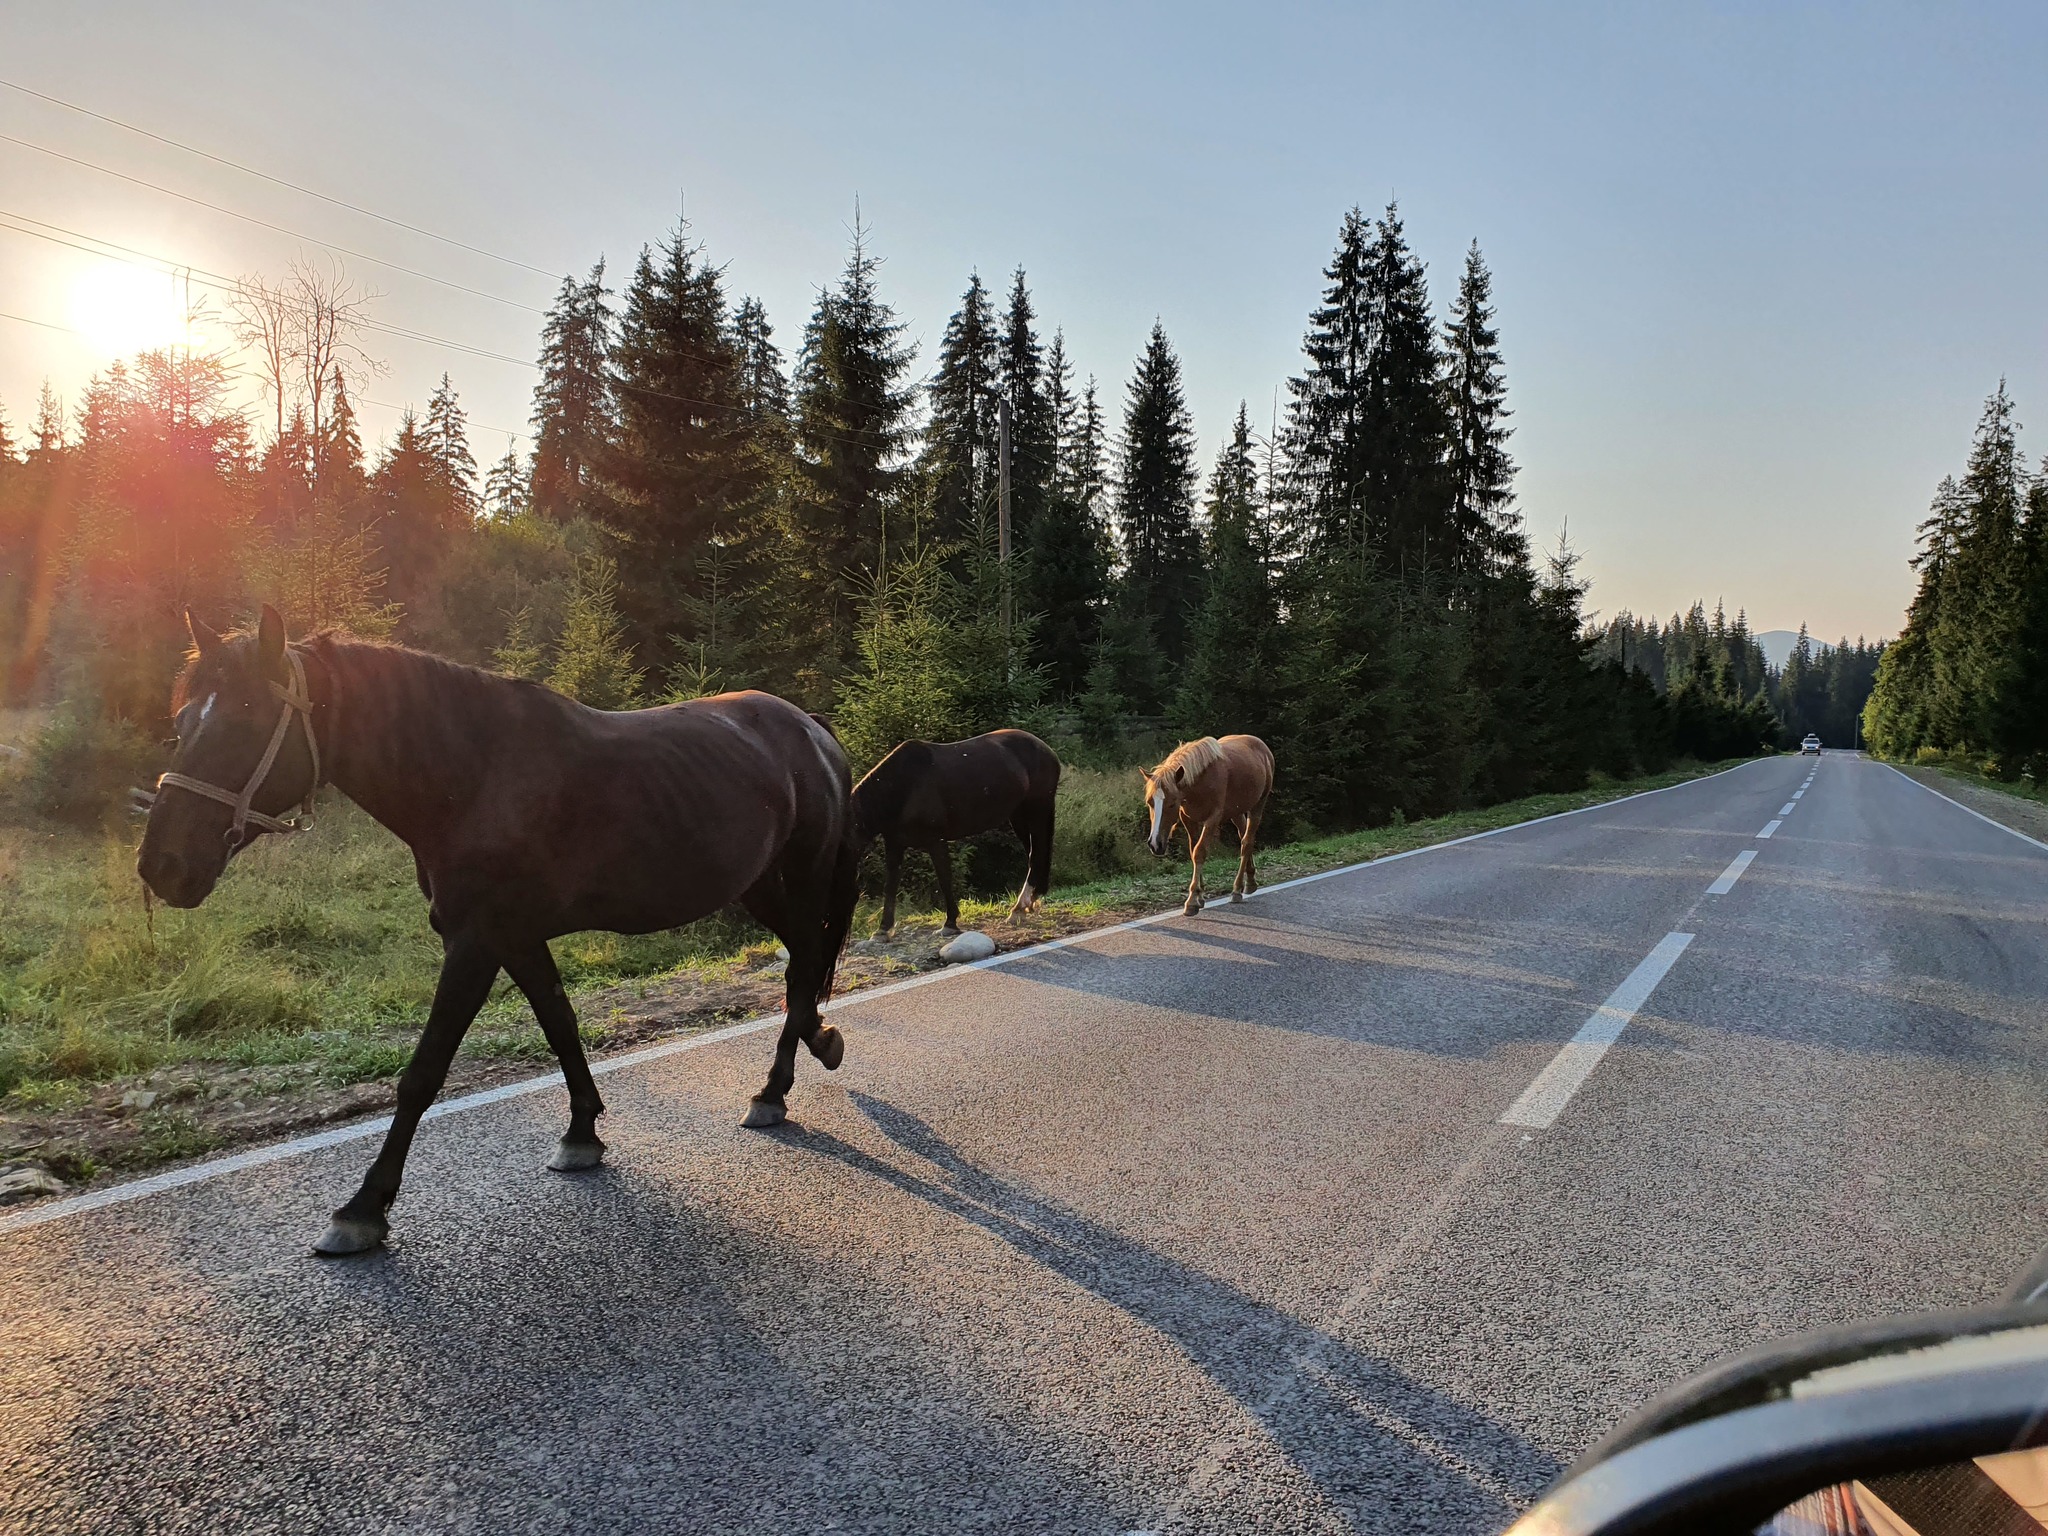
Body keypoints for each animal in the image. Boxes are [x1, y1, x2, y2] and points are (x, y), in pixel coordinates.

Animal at [134, 606, 856, 1253]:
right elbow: (560, 1023)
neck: (474, 778)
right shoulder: (515, 937)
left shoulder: (475, 943)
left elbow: (423, 1073)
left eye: (246, 718)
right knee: (801, 963)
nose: (161, 865)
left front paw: (364, 1208)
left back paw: (778, 1085)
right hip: (757, 885)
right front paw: (581, 1134)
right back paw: (808, 1051)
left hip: (801, 874)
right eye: (182, 722)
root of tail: (809, 728)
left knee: (804, 963)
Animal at [856, 733, 1064, 937]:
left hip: (1037, 809)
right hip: (1018, 816)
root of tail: (1048, 751)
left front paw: (950, 923)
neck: (903, 786)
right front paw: (883, 929)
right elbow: (890, 884)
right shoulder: (894, 844)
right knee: (1035, 854)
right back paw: (1029, 902)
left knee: (1037, 853)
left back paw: (1019, 907)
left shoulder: (936, 841)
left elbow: (944, 879)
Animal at [1146, 741, 1269, 921]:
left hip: (1258, 806)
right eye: (1150, 802)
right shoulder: (1188, 820)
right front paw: (1199, 896)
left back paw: (1237, 889)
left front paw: (1191, 901)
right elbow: (1194, 852)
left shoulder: (1212, 819)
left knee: (1247, 843)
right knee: (1243, 836)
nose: (1155, 844)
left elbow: (1199, 852)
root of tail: (1261, 746)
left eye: (1172, 803)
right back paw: (1250, 881)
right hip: (1236, 812)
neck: (1199, 782)